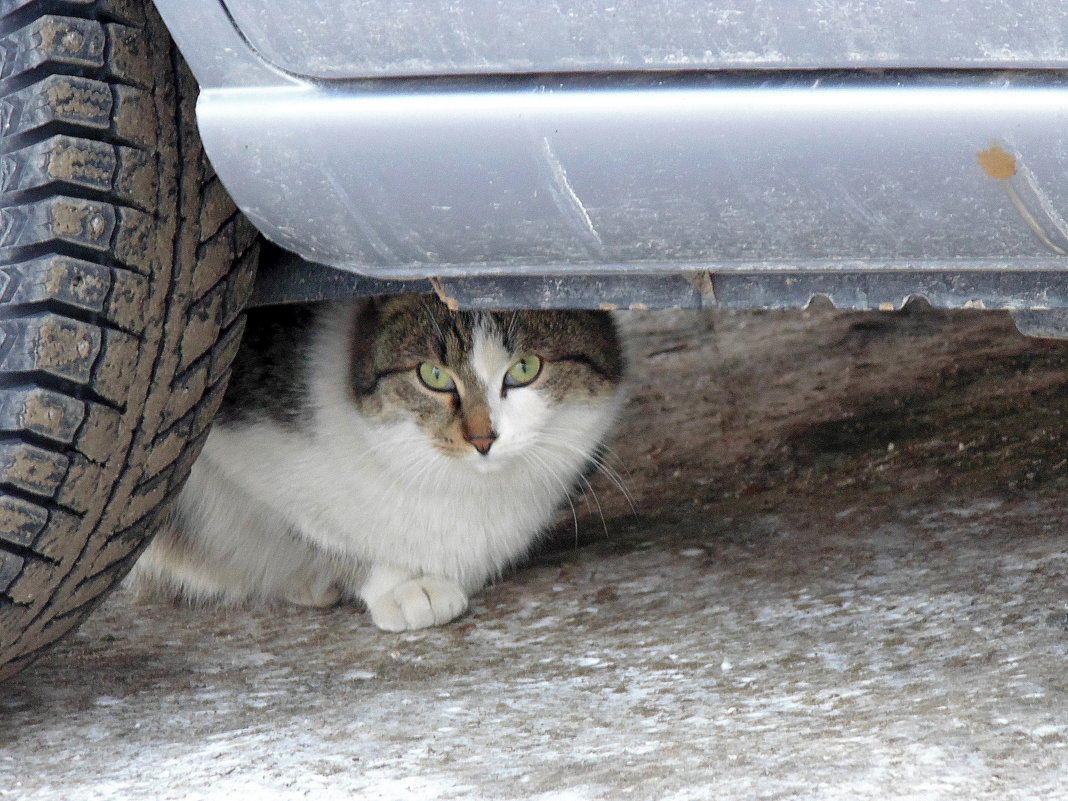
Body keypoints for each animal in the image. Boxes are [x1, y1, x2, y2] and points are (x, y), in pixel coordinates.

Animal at [129, 294, 623, 632]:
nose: (482, 439)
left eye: (524, 369)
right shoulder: (211, 429)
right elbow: (319, 528)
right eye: (434, 375)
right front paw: (405, 583)